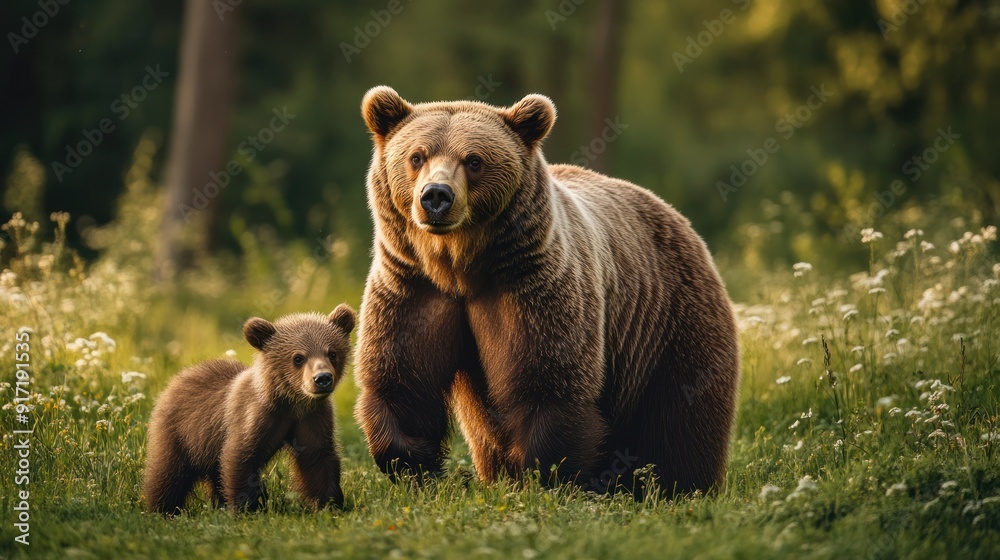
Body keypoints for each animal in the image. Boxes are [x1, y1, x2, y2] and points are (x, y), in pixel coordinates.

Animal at [143, 304, 356, 514]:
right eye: (298, 358)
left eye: (332, 353)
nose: (322, 378)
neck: (290, 403)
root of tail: (177, 378)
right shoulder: (253, 416)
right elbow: (240, 457)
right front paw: (247, 507)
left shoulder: (312, 417)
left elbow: (317, 456)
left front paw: (330, 503)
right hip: (181, 433)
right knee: (169, 472)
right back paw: (163, 509)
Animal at [353, 86, 740, 496]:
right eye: (417, 156)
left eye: (473, 160)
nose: (436, 196)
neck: (459, 267)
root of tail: (676, 215)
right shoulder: (413, 288)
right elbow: (401, 382)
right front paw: (416, 464)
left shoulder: (532, 288)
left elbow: (548, 383)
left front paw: (541, 476)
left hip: (668, 323)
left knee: (680, 417)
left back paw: (678, 485)